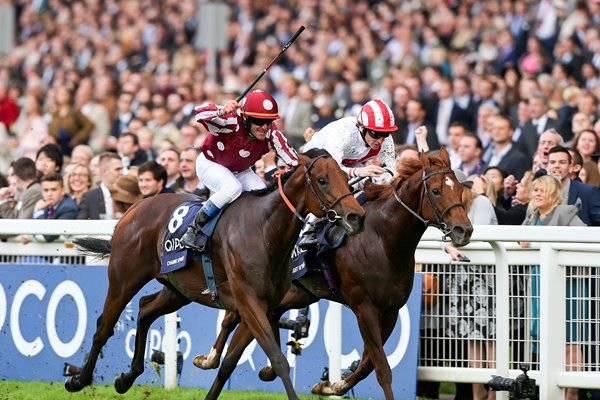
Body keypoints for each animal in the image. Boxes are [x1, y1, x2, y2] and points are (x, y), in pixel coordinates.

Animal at [64, 150, 366, 400]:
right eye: (323, 180)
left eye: (345, 177)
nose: (356, 216)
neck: (265, 232)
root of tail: (135, 207)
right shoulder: (250, 303)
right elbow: (278, 359)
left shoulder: (263, 306)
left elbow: (232, 361)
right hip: (124, 278)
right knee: (104, 326)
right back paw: (78, 380)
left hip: (178, 288)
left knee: (145, 309)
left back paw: (126, 378)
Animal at [195, 148, 472, 398]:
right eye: (436, 191)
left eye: (460, 189)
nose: (464, 230)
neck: (384, 239)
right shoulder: (365, 308)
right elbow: (382, 368)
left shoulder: (391, 311)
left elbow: (367, 364)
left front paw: (332, 385)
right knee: (233, 317)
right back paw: (209, 358)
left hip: (296, 294)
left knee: (260, 317)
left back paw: (258, 367)